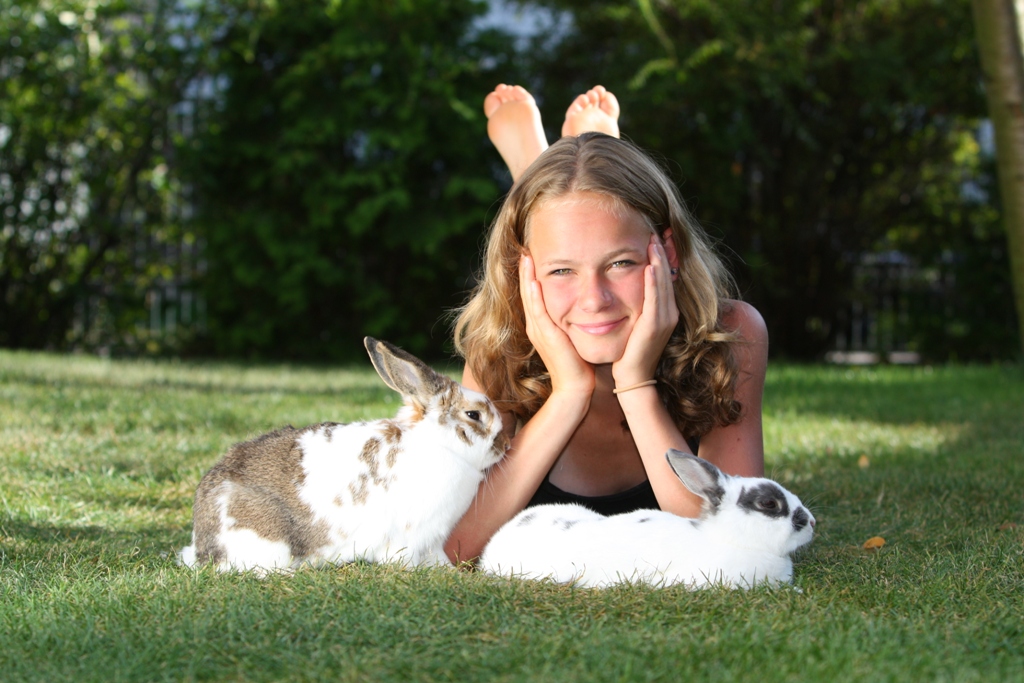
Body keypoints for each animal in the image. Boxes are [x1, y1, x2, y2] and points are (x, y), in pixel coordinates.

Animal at [178, 337, 508, 574]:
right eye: (473, 415)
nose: (505, 445)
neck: (439, 444)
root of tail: (203, 544)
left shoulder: (432, 541)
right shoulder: (412, 539)